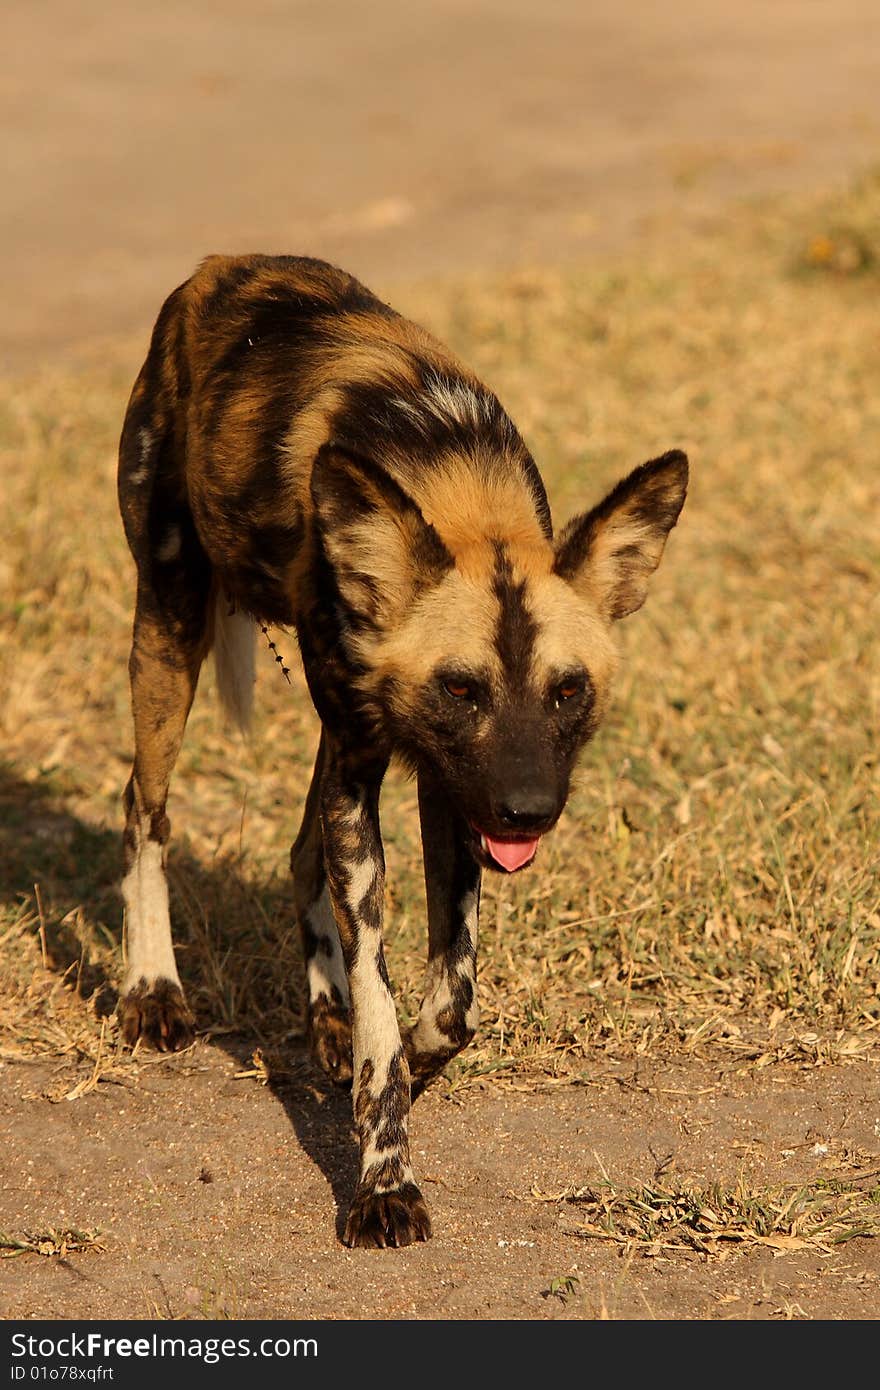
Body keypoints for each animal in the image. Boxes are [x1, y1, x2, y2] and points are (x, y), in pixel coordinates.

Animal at [116, 250, 686, 1251]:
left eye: (568, 692)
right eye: (462, 689)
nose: (529, 812)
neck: (455, 487)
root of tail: (219, 269)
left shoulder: (445, 785)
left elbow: (449, 1002)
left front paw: (403, 1068)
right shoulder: (389, 769)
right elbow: (386, 1003)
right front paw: (384, 1180)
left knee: (300, 850)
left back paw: (323, 1015)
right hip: (172, 627)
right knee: (146, 810)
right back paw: (153, 990)